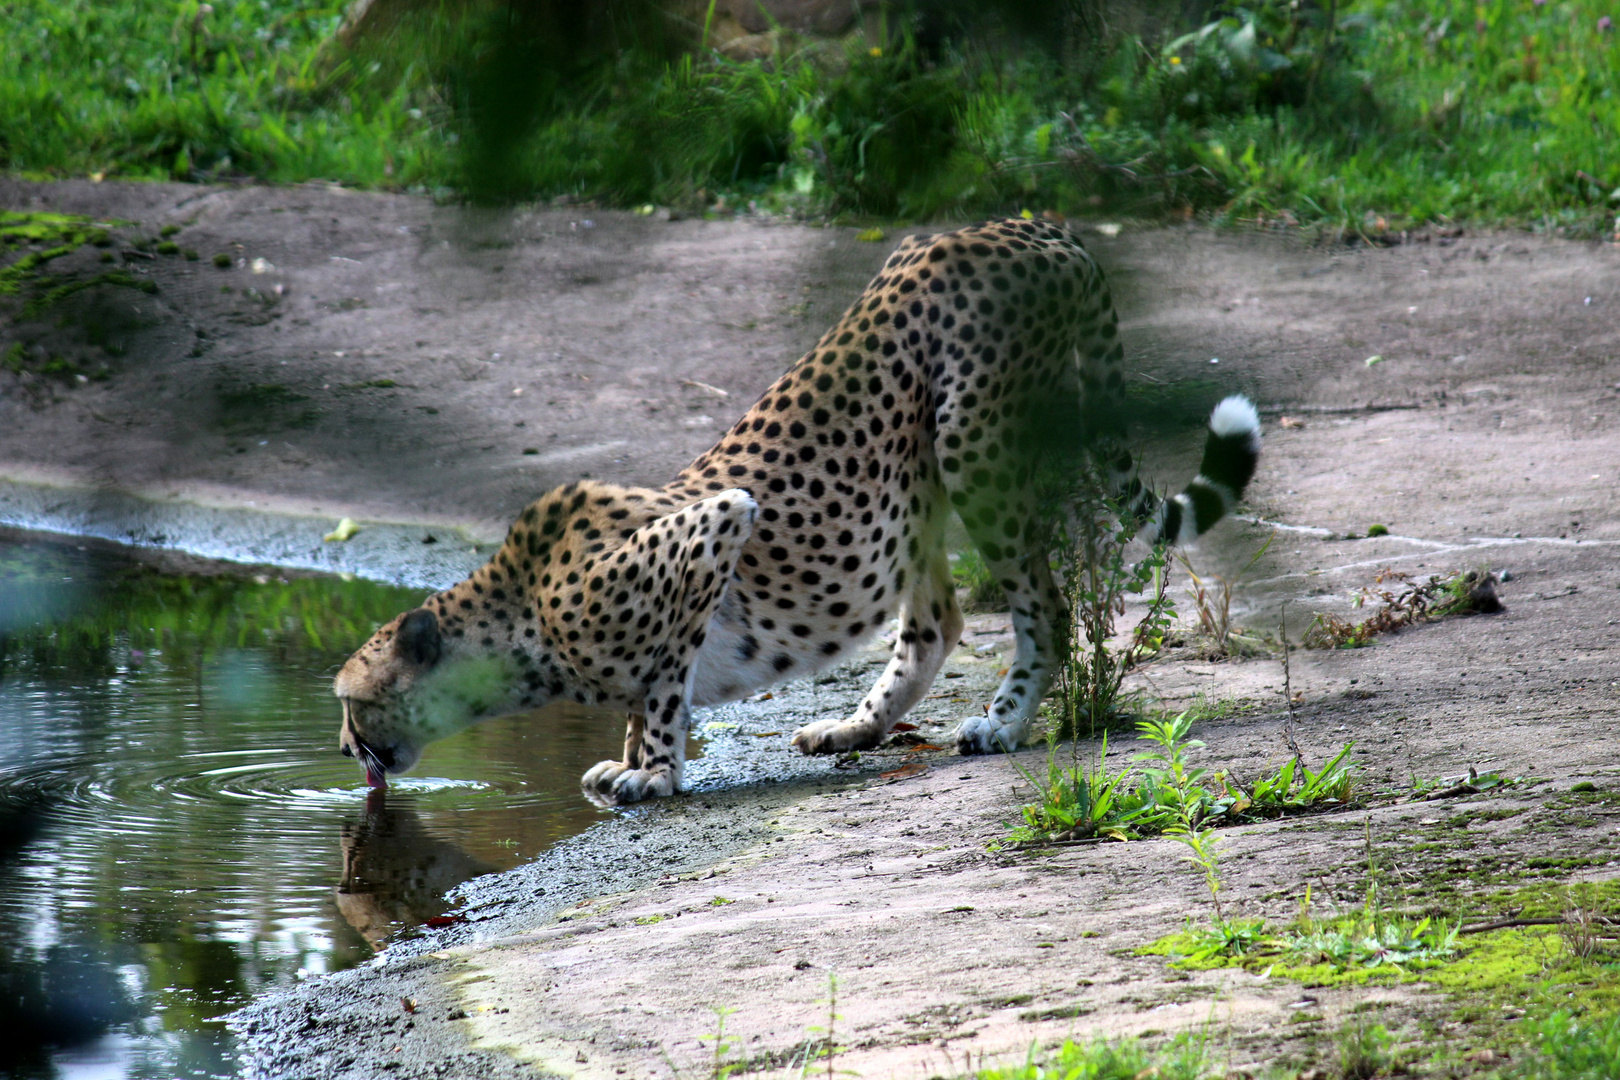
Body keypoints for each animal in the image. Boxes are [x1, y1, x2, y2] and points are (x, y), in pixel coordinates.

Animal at [332, 216, 1263, 803]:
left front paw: (654, 772)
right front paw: (630, 758)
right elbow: (645, 693)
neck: (517, 620)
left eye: (352, 701)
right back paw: (856, 730)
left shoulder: (715, 526)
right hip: (917, 482)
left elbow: (661, 682)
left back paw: (1000, 726)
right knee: (936, 619)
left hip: (973, 444)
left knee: (1045, 605)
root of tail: (1032, 229)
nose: (343, 749)